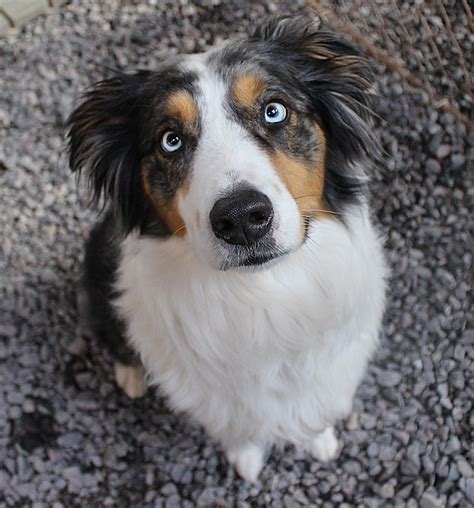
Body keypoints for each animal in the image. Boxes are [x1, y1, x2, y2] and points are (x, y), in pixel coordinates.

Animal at [66, 15, 386, 482]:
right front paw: (247, 459)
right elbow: (240, 425)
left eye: (274, 111)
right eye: (170, 140)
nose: (242, 219)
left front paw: (320, 438)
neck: (262, 294)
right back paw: (131, 375)